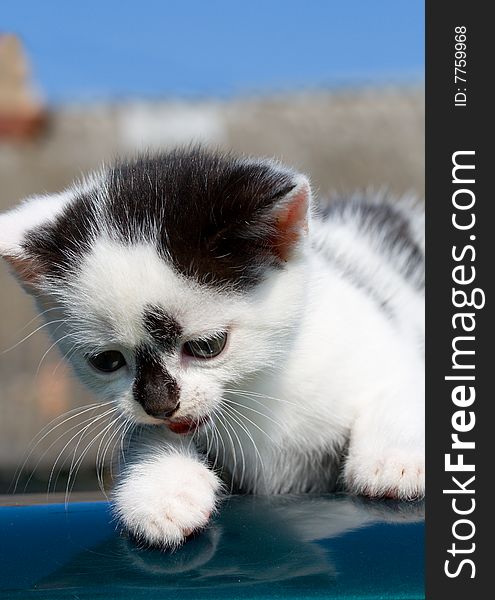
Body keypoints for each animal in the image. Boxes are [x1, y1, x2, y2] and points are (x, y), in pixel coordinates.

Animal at [0, 146, 426, 548]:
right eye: (106, 361)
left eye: (208, 346)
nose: (159, 404)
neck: (260, 389)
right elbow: (147, 433)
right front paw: (162, 492)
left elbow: (401, 388)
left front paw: (394, 462)